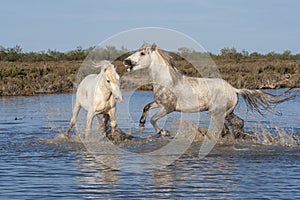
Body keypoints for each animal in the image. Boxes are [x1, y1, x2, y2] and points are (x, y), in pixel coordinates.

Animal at [123, 43, 298, 138]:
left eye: (142, 53)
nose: (126, 61)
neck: (167, 80)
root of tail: (234, 89)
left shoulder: (168, 108)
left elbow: (154, 119)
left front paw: (164, 132)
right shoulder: (159, 103)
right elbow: (146, 107)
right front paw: (141, 123)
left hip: (217, 112)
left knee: (224, 128)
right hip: (227, 112)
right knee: (236, 124)